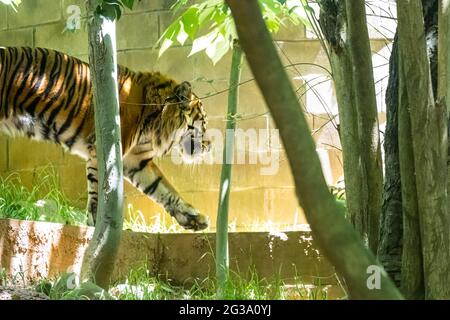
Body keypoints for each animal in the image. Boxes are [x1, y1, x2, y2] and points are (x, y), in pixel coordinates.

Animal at [0, 47, 211, 230]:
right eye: (204, 122)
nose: (209, 146)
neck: (154, 122)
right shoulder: (106, 149)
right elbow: (101, 189)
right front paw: (98, 226)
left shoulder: (136, 160)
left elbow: (162, 187)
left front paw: (194, 218)